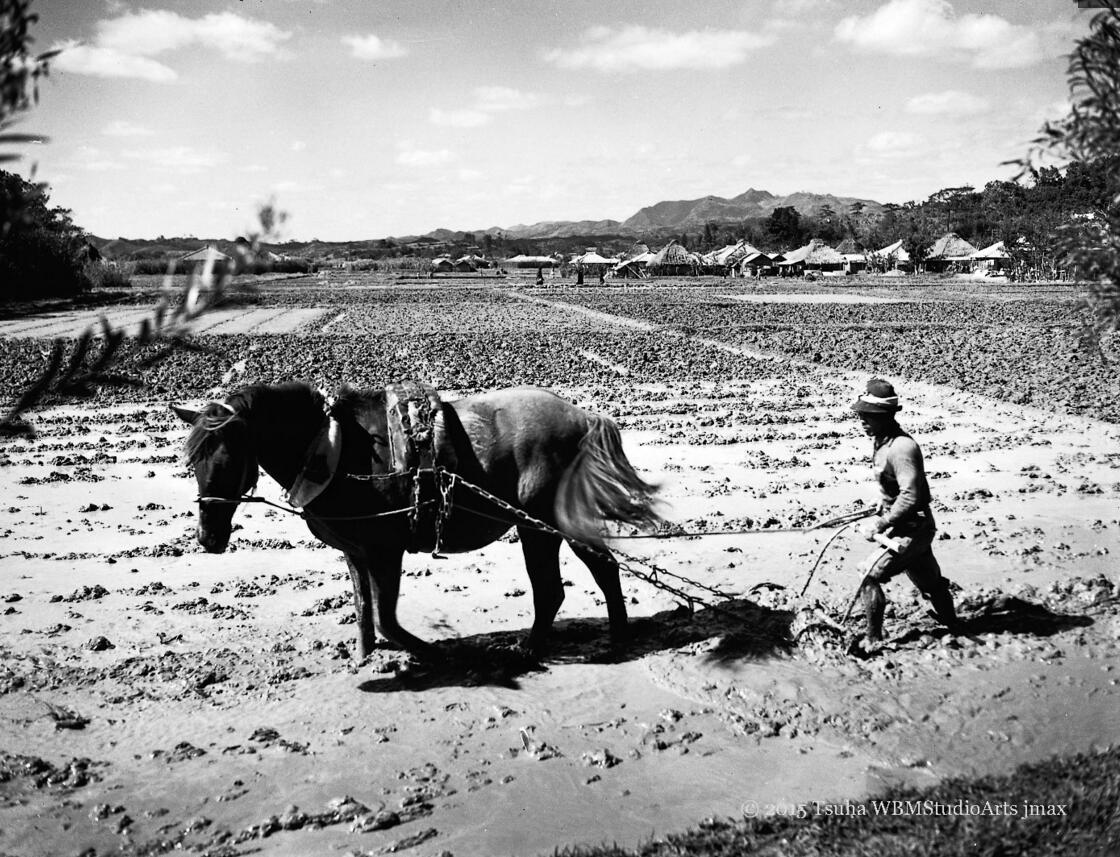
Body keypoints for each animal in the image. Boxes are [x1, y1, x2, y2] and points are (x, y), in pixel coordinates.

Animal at [174, 383, 658, 663]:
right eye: (194, 460)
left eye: (227, 458)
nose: (207, 537)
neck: (335, 451)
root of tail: (585, 417)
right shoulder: (356, 551)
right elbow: (364, 609)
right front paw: (364, 655)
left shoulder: (385, 551)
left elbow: (386, 616)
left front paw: (432, 652)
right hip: (543, 527)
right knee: (585, 575)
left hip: (541, 526)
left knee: (567, 583)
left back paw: (565, 643)